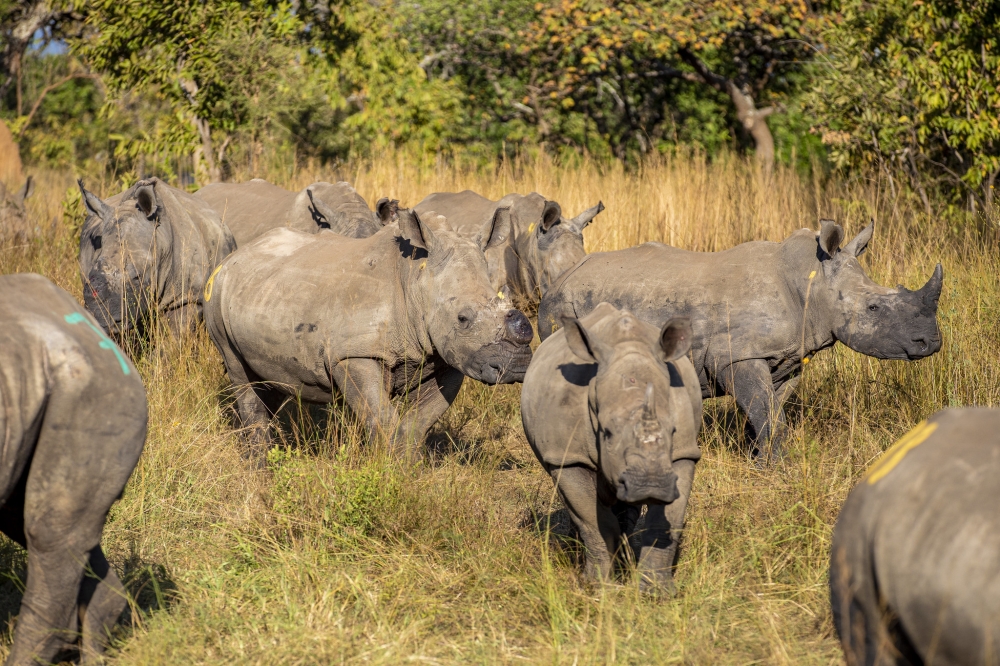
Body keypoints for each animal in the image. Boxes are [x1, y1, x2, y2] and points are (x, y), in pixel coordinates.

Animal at [203, 206, 534, 457]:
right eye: (463, 318)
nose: (517, 365)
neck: (417, 279)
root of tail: (232, 257)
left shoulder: (448, 357)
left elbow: (419, 423)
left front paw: (407, 470)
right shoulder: (355, 355)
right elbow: (383, 420)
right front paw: (387, 471)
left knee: (269, 381)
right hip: (215, 296)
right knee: (241, 375)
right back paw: (259, 466)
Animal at [521, 302, 700, 589]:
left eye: (673, 430)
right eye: (606, 432)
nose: (651, 486)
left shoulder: (683, 453)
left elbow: (666, 523)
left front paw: (656, 591)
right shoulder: (569, 457)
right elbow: (595, 524)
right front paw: (598, 586)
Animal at [539, 220, 943, 461]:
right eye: (873, 307)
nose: (932, 342)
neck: (811, 283)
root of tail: (559, 280)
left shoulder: (787, 359)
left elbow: (769, 415)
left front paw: (759, 464)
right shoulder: (736, 357)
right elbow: (768, 415)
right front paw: (779, 471)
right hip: (563, 308)